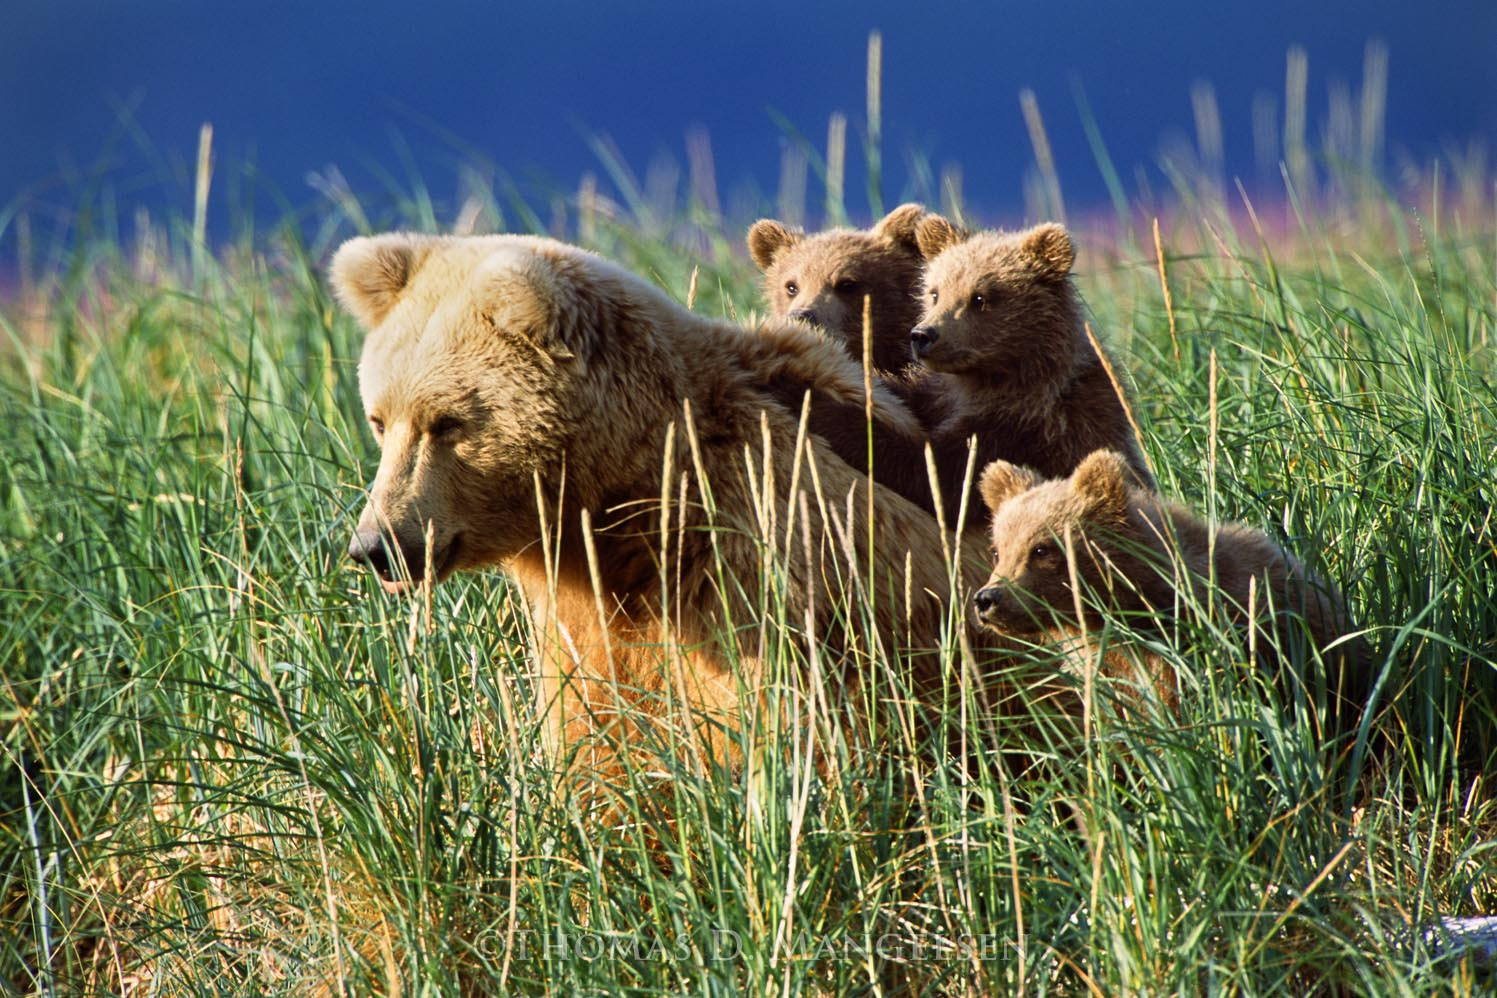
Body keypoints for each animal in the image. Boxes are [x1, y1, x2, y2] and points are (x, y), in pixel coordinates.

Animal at [331, 232, 995, 788]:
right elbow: (596, 738)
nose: (377, 544)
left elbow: (802, 737)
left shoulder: (777, 570)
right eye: (380, 419)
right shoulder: (588, 615)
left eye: (447, 422)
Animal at [906, 218, 1156, 518]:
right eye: (935, 293)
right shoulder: (942, 397)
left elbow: (941, 472)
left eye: (979, 298)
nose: (923, 335)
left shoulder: (1028, 428)